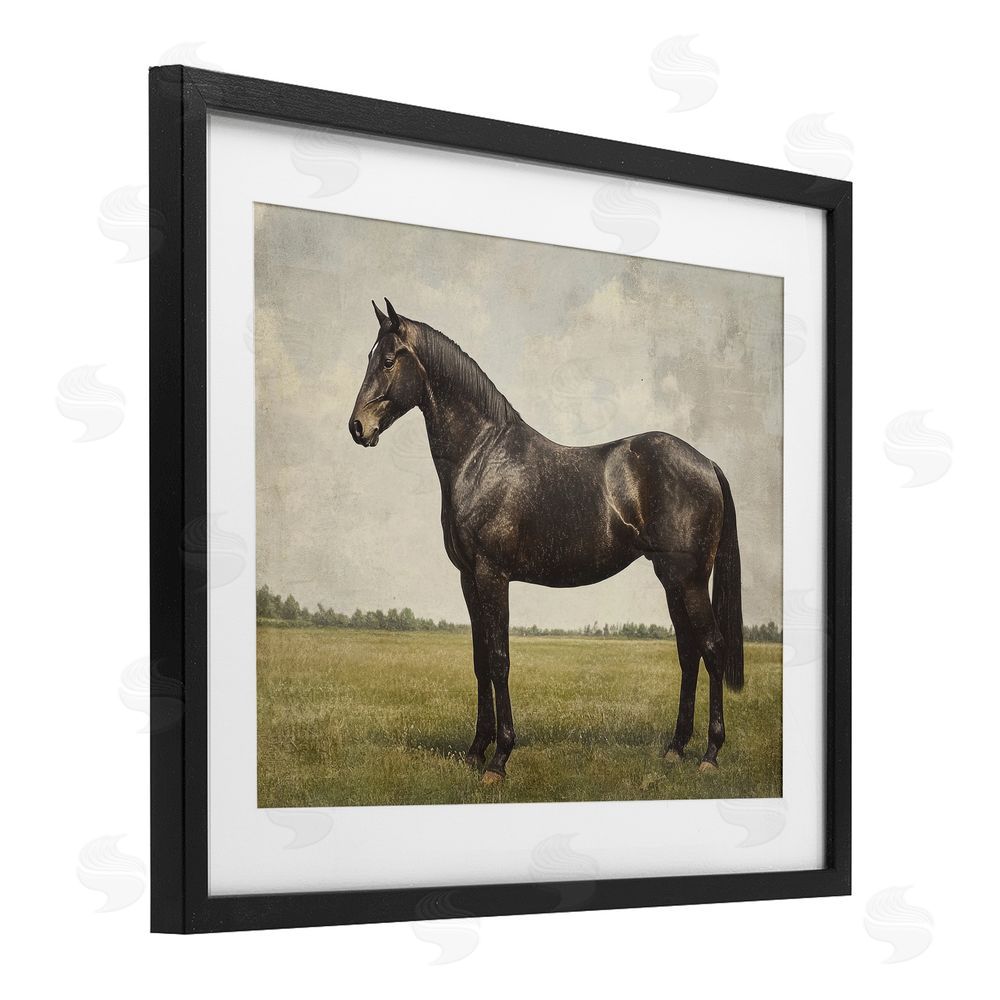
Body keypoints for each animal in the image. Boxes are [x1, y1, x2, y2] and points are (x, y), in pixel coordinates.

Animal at [349, 298, 744, 784]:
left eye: (388, 360)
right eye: (369, 357)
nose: (357, 427)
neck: (481, 456)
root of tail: (706, 463)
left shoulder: (492, 575)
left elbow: (499, 659)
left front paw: (499, 759)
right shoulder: (468, 579)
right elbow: (480, 661)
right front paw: (475, 751)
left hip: (689, 580)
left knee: (712, 649)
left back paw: (710, 753)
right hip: (671, 579)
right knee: (688, 653)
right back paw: (675, 749)